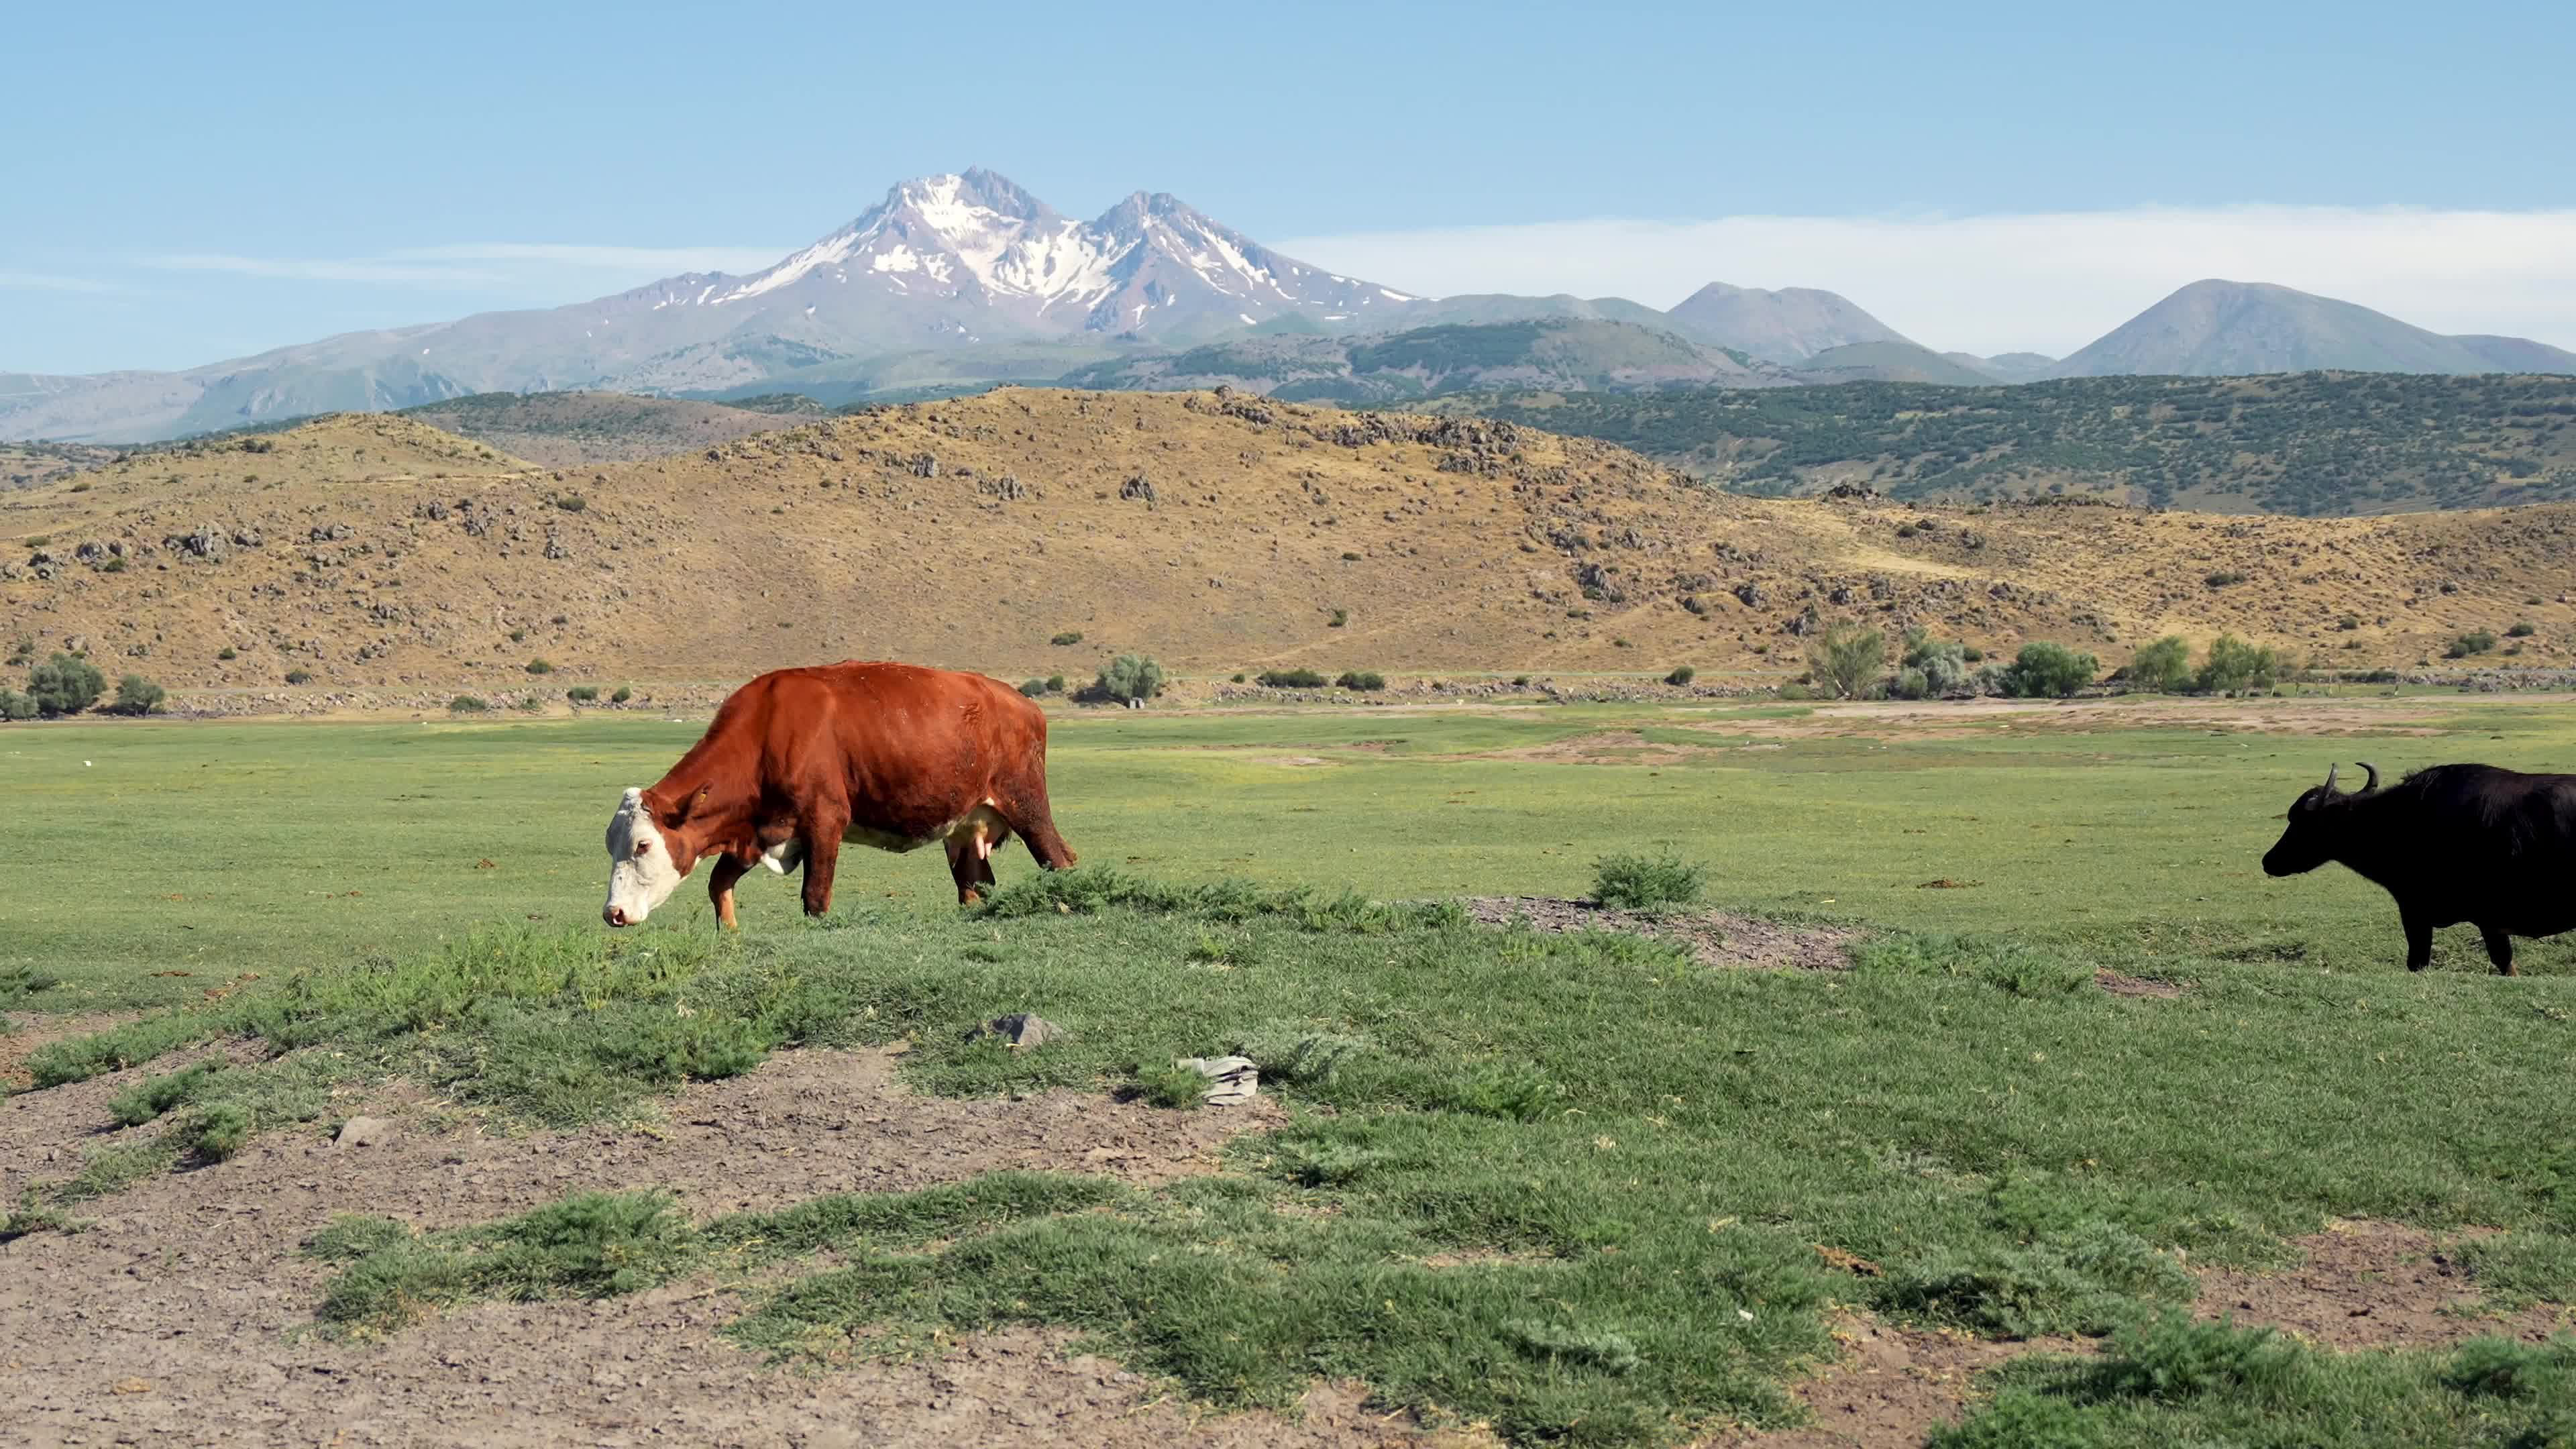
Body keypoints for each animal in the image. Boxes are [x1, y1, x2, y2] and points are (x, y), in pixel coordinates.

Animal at [602, 662, 1076, 928]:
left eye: (643, 845)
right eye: (611, 846)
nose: (613, 912)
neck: (767, 732)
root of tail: (1021, 703)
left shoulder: (824, 822)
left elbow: (816, 897)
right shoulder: (756, 832)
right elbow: (719, 885)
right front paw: (730, 935)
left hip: (1026, 805)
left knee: (1059, 860)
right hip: (964, 827)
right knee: (974, 885)